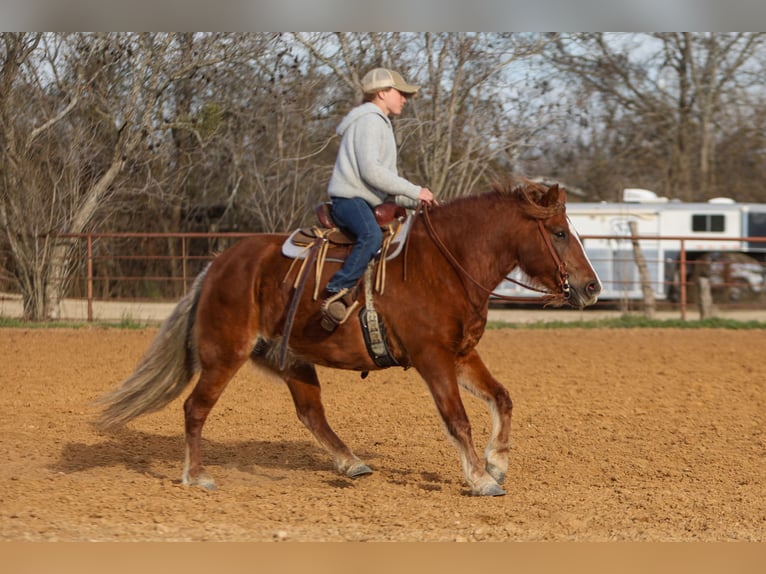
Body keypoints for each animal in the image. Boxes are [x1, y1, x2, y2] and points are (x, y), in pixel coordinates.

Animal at [96, 182, 604, 498]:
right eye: (559, 232)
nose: (592, 287)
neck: (446, 266)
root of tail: (218, 266)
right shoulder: (432, 358)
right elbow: (457, 419)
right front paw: (481, 480)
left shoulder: (461, 354)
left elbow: (502, 398)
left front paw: (496, 461)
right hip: (224, 356)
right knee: (195, 409)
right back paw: (197, 476)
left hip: (293, 359)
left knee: (310, 414)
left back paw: (350, 463)